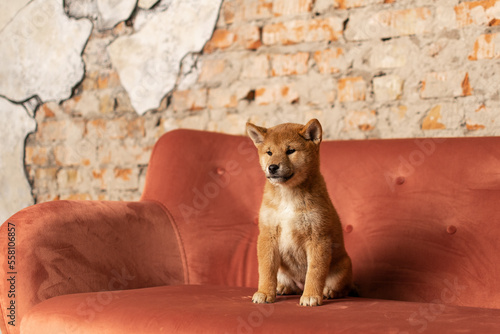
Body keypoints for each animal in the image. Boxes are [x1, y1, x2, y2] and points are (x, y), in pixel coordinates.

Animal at [246, 118, 352, 306]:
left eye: (290, 151)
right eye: (269, 152)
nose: (272, 167)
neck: (288, 195)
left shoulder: (318, 237)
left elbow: (314, 272)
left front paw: (311, 296)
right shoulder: (268, 235)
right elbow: (266, 270)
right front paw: (264, 292)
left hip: (343, 266)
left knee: (342, 289)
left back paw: (328, 292)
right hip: (283, 271)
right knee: (288, 285)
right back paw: (282, 288)